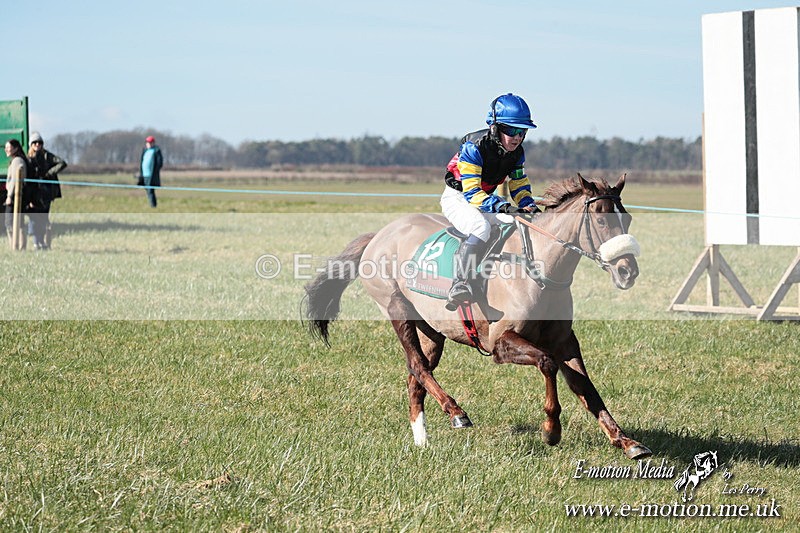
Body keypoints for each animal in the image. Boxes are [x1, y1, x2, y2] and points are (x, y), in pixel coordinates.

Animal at [304, 174, 652, 460]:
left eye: (628, 218)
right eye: (601, 219)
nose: (628, 271)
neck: (539, 270)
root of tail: (380, 234)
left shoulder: (565, 342)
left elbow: (586, 387)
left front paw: (626, 441)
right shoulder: (501, 342)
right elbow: (547, 364)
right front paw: (551, 429)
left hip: (432, 330)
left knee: (416, 375)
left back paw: (422, 439)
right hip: (396, 309)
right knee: (417, 366)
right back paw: (456, 412)